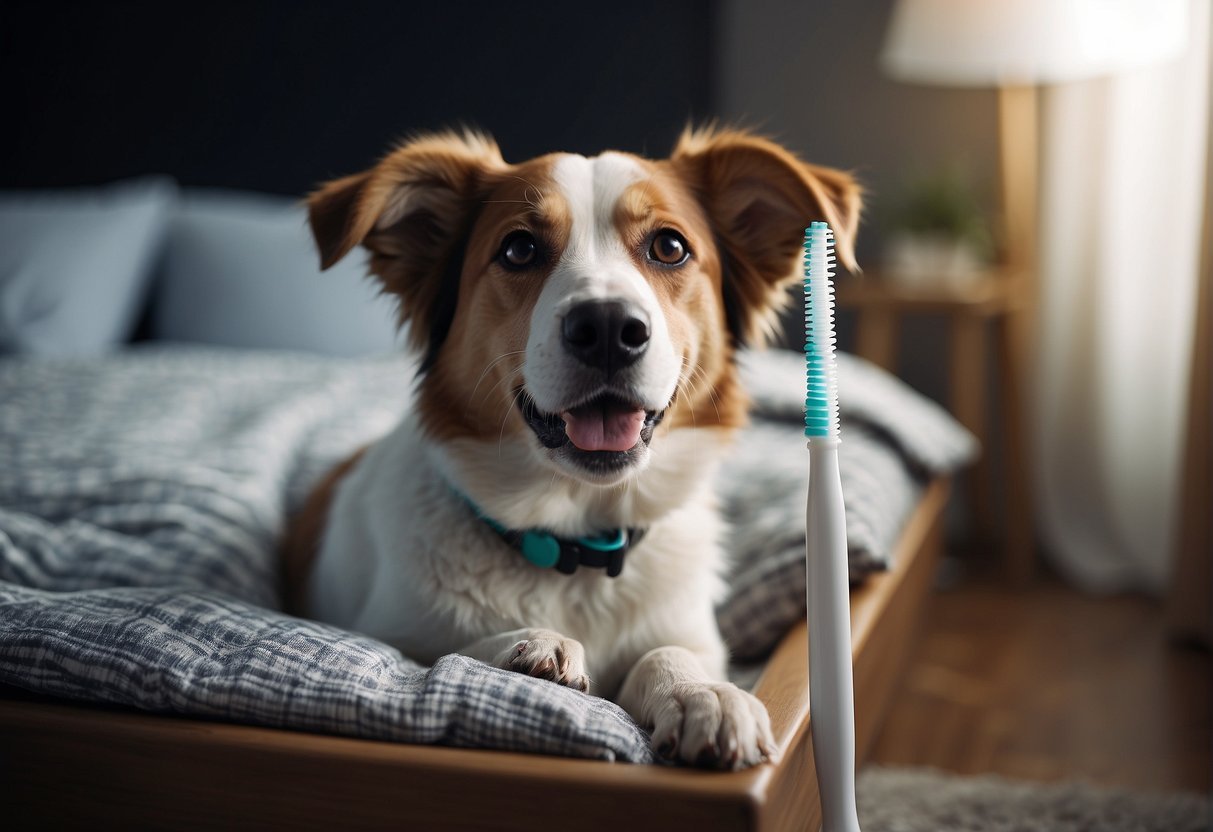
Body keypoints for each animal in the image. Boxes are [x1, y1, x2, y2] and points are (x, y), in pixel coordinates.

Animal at [278, 123, 858, 771]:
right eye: (519, 250)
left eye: (670, 247)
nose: (607, 329)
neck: (578, 545)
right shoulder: (382, 632)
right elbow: (439, 652)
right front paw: (533, 645)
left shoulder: (690, 629)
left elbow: (666, 653)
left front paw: (701, 693)